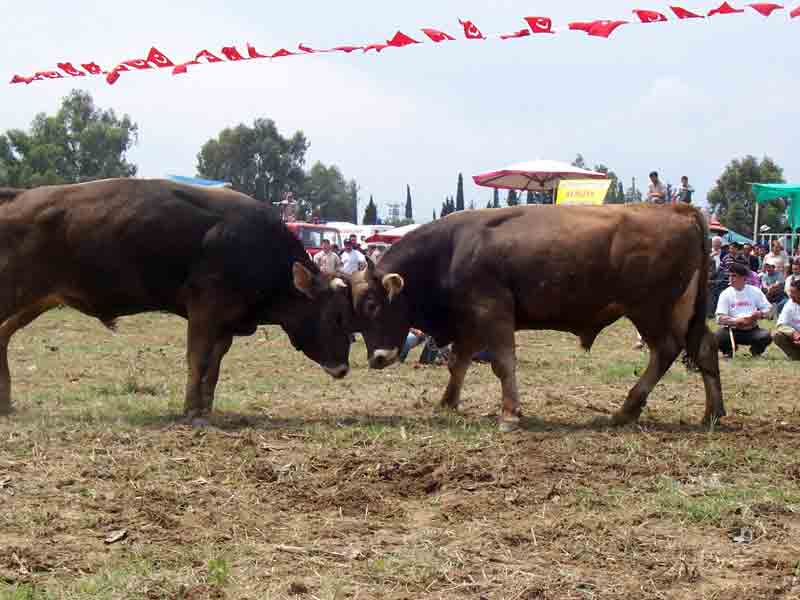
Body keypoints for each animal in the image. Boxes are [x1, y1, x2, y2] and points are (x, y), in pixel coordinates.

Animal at [0, 178, 354, 420]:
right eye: (336, 317)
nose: (343, 369)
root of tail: (18, 196)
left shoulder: (225, 325)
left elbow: (213, 367)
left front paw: (205, 408)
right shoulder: (204, 313)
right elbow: (197, 360)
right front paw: (191, 412)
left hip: (33, 301)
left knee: (2, 336)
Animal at [350, 204, 724, 428]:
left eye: (371, 305)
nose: (376, 358)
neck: (453, 248)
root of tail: (678, 208)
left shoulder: (493, 311)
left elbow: (503, 364)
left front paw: (510, 414)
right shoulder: (470, 321)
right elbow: (459, 362)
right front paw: (448, 402)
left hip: (650, 310)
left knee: (666, 350)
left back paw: (626, 409)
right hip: (682, 310)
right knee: (703, 347)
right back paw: (711, 413)